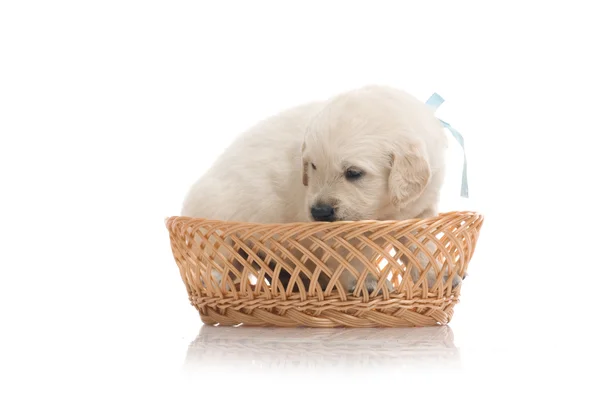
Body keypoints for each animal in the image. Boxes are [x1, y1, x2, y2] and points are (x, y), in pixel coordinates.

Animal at [180, 85, 458, 294]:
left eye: (353, 173)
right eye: (313, 166)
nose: (319, 212)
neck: (384, 209)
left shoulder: (419, 210)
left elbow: (423, 246)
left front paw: (439, 275)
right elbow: (351, 261)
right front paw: (369, 282)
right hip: (218, 224)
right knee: (216, 261)